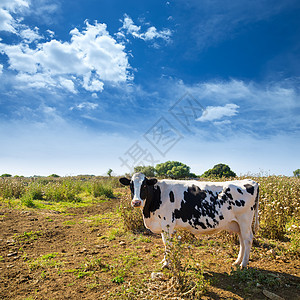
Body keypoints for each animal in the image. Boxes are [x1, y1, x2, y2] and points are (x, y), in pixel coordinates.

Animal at [118, 172, 258, 268]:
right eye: (131, 186)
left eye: (145, 186)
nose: (136, 202)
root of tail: (252, 181)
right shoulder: (162, 226)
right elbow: (165, 243)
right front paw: (164, 260)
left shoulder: (167, 224)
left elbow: (167, 244)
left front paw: (167, 263)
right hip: (237, 223)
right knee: (242, 240)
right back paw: (237, 261)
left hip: (245, 220)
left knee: (247, 239)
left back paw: (243, 264)